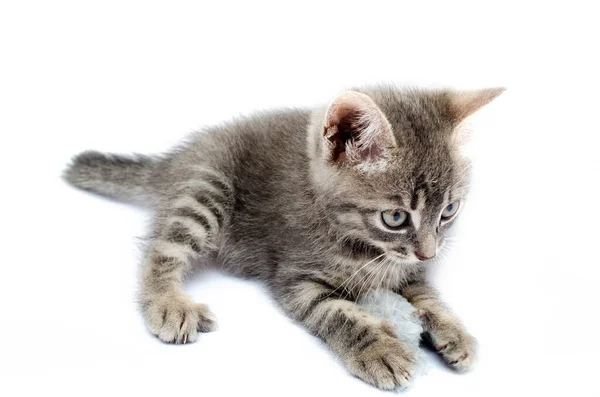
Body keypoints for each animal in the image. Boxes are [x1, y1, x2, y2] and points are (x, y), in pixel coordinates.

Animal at [63, 85, 504, 388]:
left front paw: (455, 332)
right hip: (207, 187)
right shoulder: (296, 277)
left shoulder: (405, 269)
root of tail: (177, 159)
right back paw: (167, 303)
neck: (359, 243)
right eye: (395, 217)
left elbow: (428, 297)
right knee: (161, 248)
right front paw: (378, 349)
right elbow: (338, 313)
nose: (429, 254)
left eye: (449, 211)